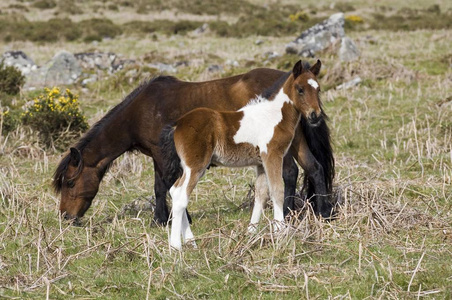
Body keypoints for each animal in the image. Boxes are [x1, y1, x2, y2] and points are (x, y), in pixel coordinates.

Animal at [53, 63, 336, 225]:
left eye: (70, 183)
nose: (66, 217)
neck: (141, 111)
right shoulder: (160, 155)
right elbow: (161, 187)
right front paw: (162, 219)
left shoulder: (162, 155)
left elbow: (165, 186)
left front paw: (173, 219)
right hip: (297, 140)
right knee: (314, 168)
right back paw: (324, 214)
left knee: (290, 173)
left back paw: (287, 214)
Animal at [159, 59, 324, 250]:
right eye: (300, 89)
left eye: (318, 89)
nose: (315, 116)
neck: (273, 116)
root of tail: (178, 124)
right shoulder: (272, 155)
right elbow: (277, 190)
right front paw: (281, 232)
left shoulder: (261, 163)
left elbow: (261, 195)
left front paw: (251, 233)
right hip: (195, 166)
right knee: (181, 196)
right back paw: (176, 245)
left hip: (188, 167)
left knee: (175, 191)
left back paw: (191, 242)